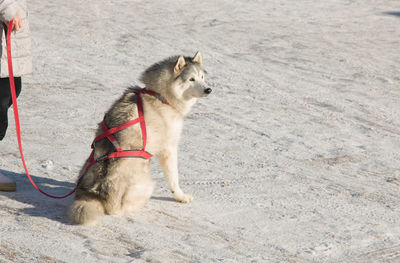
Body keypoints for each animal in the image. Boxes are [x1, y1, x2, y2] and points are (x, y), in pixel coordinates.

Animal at [70, 52, 211, 227]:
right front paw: (181, 196)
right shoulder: (169, 149)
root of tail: (97, 194)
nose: (208, 89)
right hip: (147, 181)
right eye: (191, 79)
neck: (160, 95)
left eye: (202, 77)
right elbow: (174, 178)